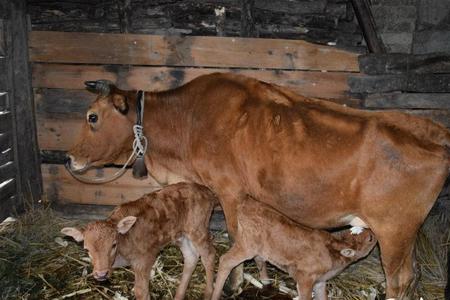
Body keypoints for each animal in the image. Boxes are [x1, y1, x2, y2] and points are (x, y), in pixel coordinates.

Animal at [61, 183, 218, 300]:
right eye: (87, 249)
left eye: (113, 244)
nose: (101, 274)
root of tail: (205, 190)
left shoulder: (145, 259)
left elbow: (140, 291)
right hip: (181, 235)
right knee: (191, 257)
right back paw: (178, 296)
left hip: (198, 228)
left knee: (209, 255)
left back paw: (208, 293)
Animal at [210, 197, 376, 300]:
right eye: (370, 238)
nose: (374, 232)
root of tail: (246, 202)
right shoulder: (305, 278)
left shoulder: (320, 281)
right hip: (246, 244)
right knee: (225, 260)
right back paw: (214, 294)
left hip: (258, 247)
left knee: (259, 259)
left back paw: (266, 282)